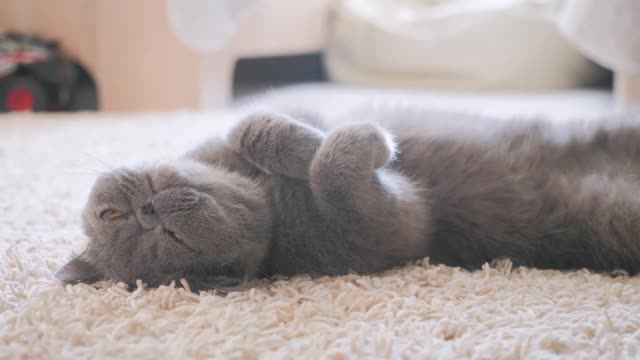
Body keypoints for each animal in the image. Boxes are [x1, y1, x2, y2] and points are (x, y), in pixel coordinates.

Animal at [55, 111, 640, 292]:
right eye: (171, 239)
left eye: (110, 213)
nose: (148, 210)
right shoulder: (401, 222)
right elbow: (337, 174)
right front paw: (363, 140)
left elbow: (245, 126)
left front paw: (299, 139)